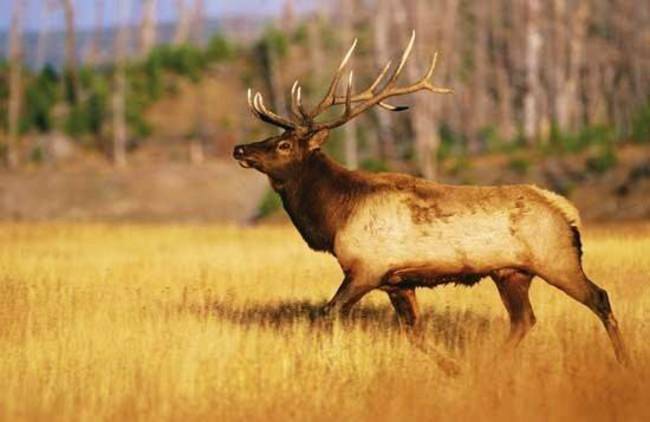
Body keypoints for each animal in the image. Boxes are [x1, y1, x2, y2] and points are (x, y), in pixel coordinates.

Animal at [233, 31, 629, 365]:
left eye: (284, 145)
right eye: (271, 138)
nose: (240, 149)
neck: (334, 217)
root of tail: (568, 212)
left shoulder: (367, 268)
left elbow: (327, 314)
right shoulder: (397, 282)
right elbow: (415, 334)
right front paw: (452, 368)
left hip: (557, 258)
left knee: (599, 297)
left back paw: (625, 362)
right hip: (511, 273)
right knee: (524, 320)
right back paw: (490, 366)